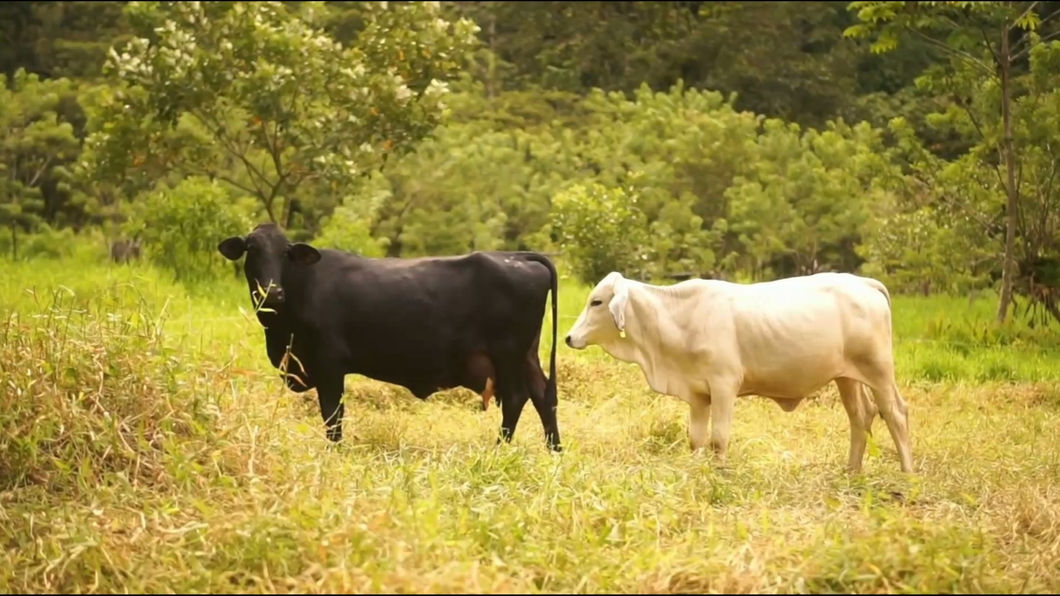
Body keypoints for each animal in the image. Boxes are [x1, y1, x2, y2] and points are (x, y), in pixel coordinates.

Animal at [217, 223, 561, 451]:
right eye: (252, 250)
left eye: (286, 253)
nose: (272, 292)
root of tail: (517, 256)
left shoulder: (329, 364)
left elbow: (333, 415)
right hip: (527, 355)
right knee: (544, 396)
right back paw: (554, 452)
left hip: (508, 355)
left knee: (517, 398)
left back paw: (498, 450)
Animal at [563, 271, 913, 473]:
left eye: (597, 302)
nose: (568, 338)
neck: (679, 318)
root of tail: (864, 282)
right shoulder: (698, 394)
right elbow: (696, 439)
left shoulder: (723, 386)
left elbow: (719, 439)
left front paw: (720, 475)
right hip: (847, 377)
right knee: (861, 416)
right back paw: (851, 472)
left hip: (879, 371)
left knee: (895, 413)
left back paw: (907, 475)